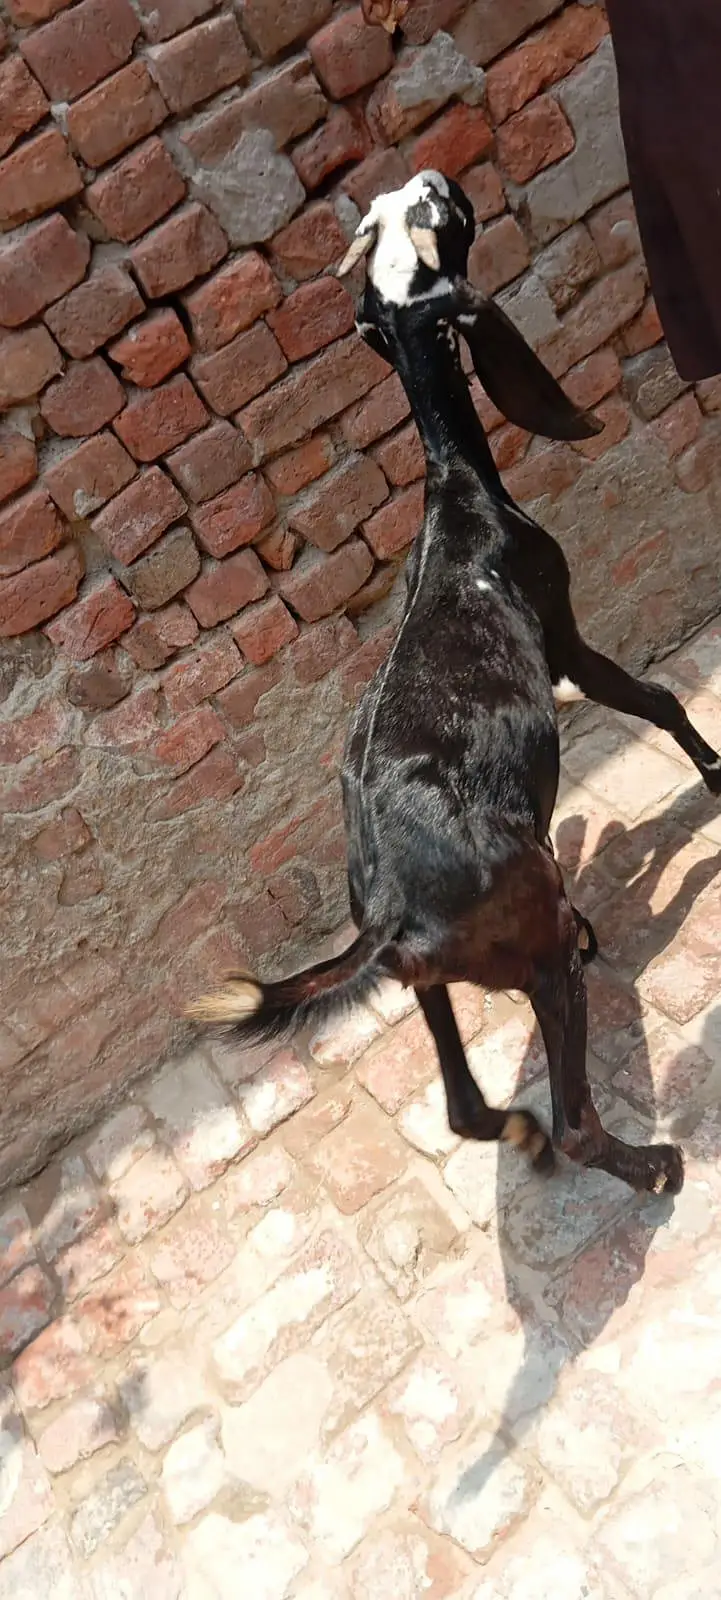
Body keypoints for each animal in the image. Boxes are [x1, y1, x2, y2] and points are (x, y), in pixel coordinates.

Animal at [190, 170, 721, 1198]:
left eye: (400, 217)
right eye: (433, 221)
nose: (437, 179)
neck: (456, 496)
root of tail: (392, 910)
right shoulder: (561, 635)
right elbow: (654, 700)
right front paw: (717, 779)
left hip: (428, 981)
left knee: (466, 1109)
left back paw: (516, 1128)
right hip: (532, 942)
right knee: (574, 1117)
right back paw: (644, 1163)